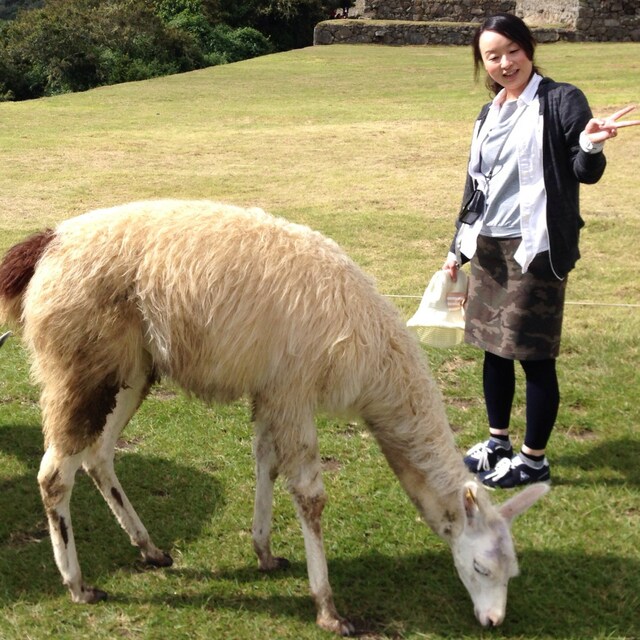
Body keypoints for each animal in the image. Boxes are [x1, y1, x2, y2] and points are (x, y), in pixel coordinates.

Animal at [0, 200, 548, 634]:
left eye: (512, 572)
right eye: (481, 568)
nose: (494, 620)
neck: (373, 355)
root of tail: (48, 243)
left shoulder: (273, 391)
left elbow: (265, 460)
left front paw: (264, 552)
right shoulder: (294, 391)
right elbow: (309, 496)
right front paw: (329, 610)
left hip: (132, 370)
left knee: (98, 455)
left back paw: (150, 549)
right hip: (80, 368)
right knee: (54, 474)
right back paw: (78, 585)